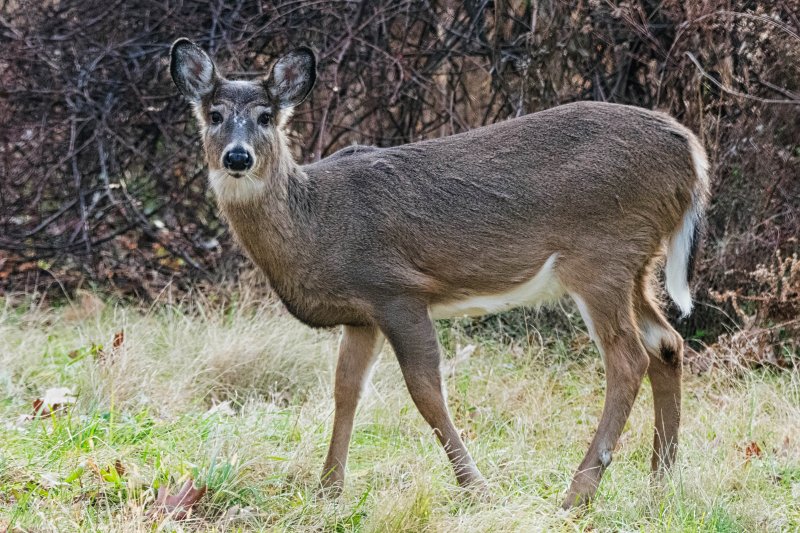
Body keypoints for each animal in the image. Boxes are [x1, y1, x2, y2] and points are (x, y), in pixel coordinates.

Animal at [169, 38, 709, 508]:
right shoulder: (361, 314)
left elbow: (426, 390)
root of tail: (692, 154)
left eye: (266, 116)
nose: (238, 156)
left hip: (601, 255)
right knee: (666, 343)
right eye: (214, 115)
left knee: (628, 359)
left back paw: (577, 494)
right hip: (636, 263)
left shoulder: (396, 289)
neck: (317, 224)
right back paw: (660, 481)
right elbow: (346, 391)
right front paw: (328, 490)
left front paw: (477, 488)